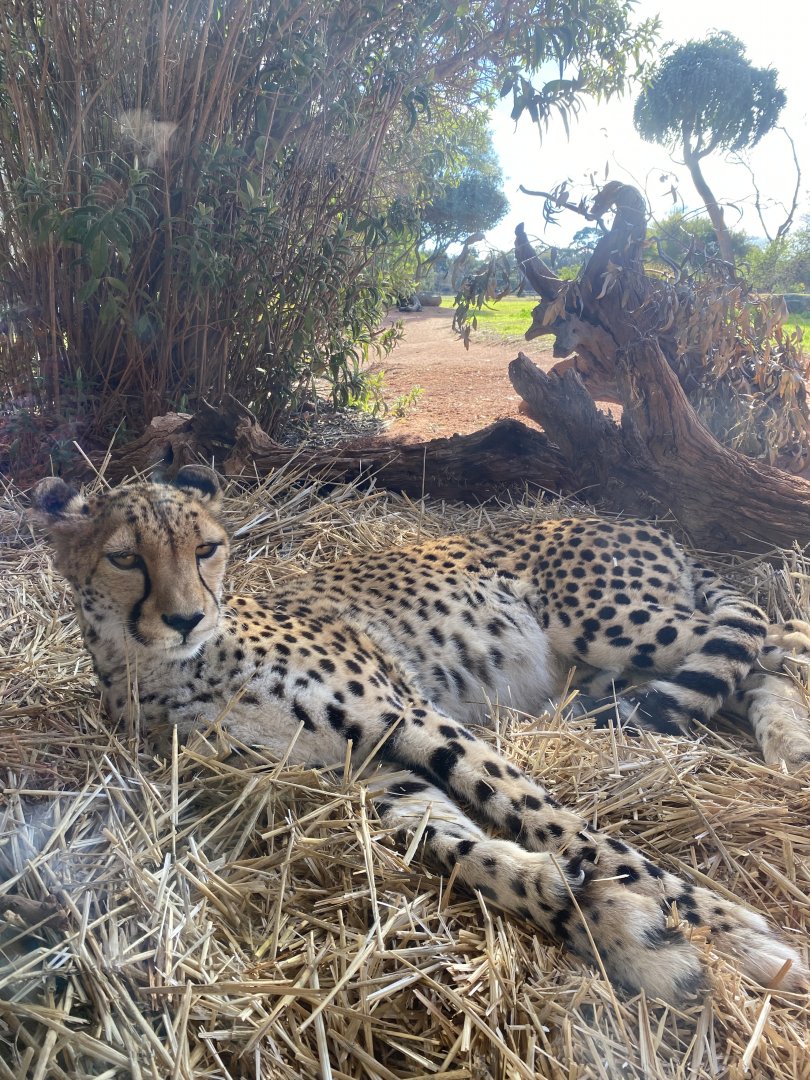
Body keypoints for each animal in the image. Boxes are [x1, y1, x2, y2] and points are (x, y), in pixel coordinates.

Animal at [31, 465, 810, 1002]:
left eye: (208, 548)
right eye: (125, 557)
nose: (187, 617)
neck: (175, 667)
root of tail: (638, 524)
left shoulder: (407, 715)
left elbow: (562, 826)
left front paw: (734, 933)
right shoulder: (360, 773)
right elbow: (461, 848)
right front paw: (595, 912)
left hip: (615, 623)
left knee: (770, 637)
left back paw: (789, 737)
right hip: (606, 659)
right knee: (745, 665)